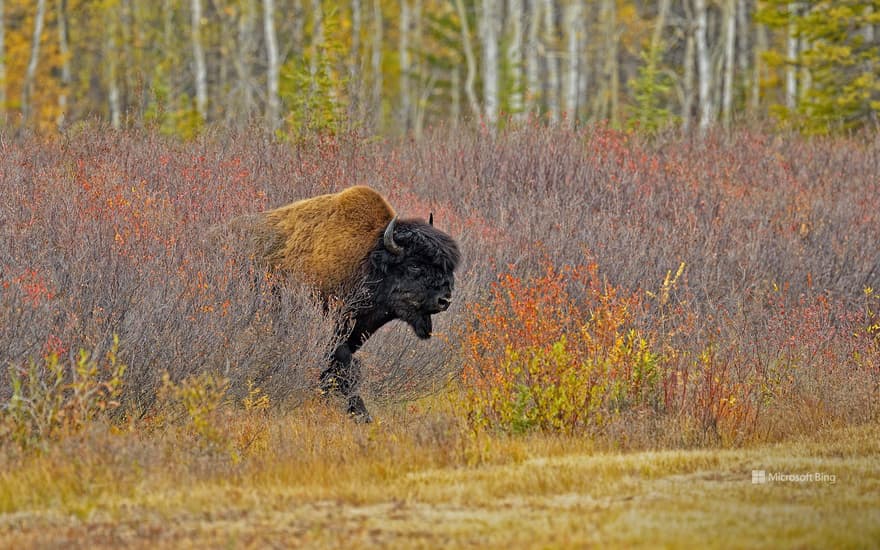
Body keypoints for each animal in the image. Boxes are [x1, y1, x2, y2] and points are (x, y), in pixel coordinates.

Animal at [220, 187, 460, 422]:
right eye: (414, 266)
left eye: (448, 268)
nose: (445, 300)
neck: (367, 257)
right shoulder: (332, 335)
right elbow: (345, 371)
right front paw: (362, 415)